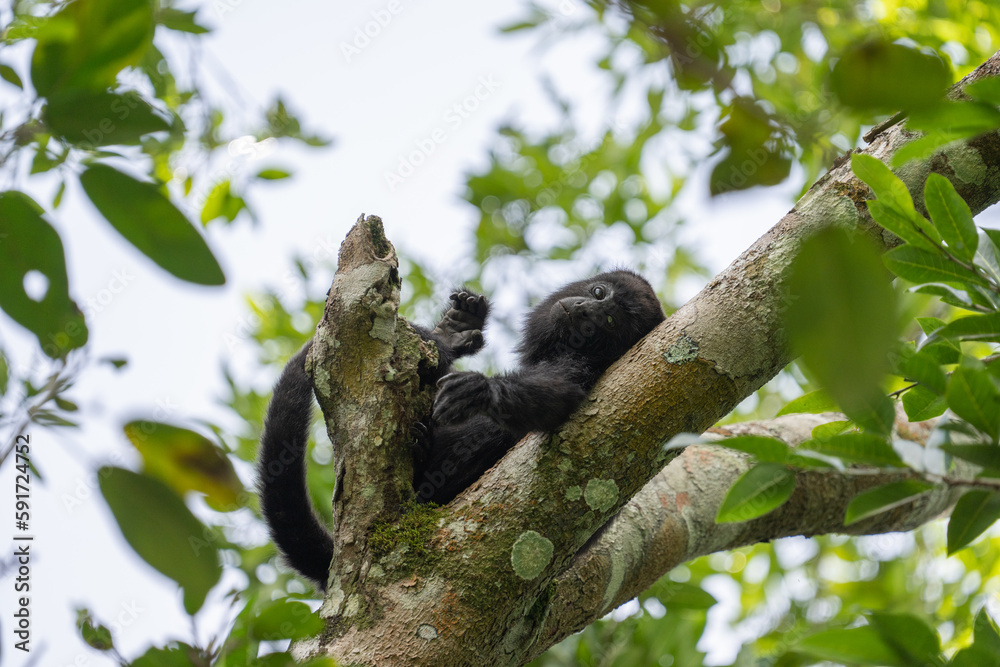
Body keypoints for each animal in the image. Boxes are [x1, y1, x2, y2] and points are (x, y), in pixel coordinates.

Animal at [257, 270, 665, 589]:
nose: (583, 309)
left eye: (608, 322)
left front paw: (481, 390)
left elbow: (560, 395)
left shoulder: (581, 366)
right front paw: (453, 331)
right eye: (598, 293)